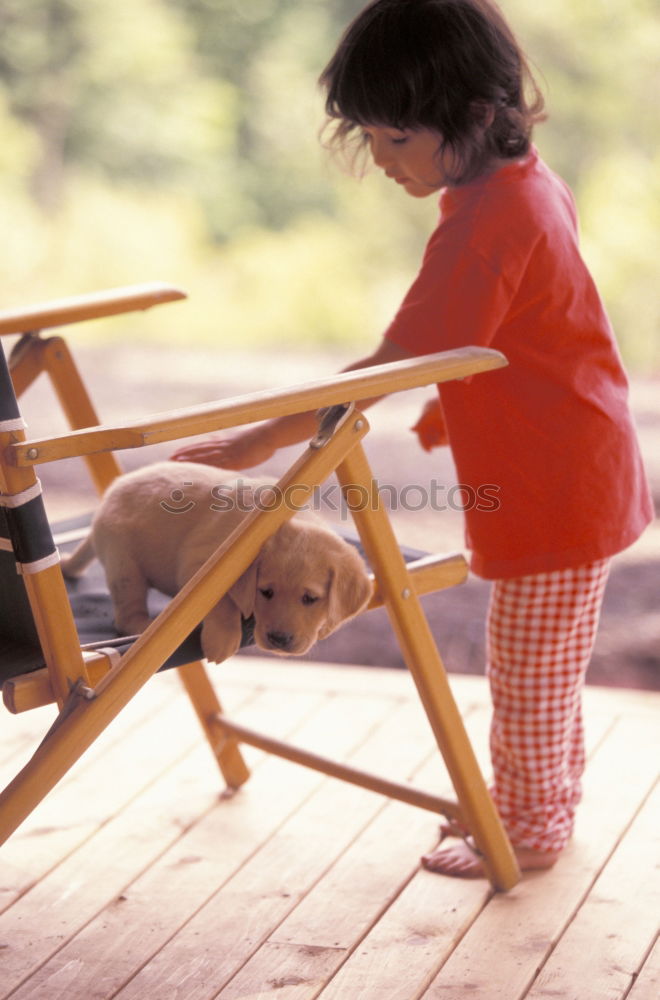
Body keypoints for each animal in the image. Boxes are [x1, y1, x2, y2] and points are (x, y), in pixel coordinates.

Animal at [62, 460, 374, 664]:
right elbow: (221, 600)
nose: (278, 639)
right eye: (266, 592)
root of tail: (103, 505)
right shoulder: (199, 563)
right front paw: (222, 638)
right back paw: (143, 627)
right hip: (124, 562)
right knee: (127, 611)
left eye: (310, 599)